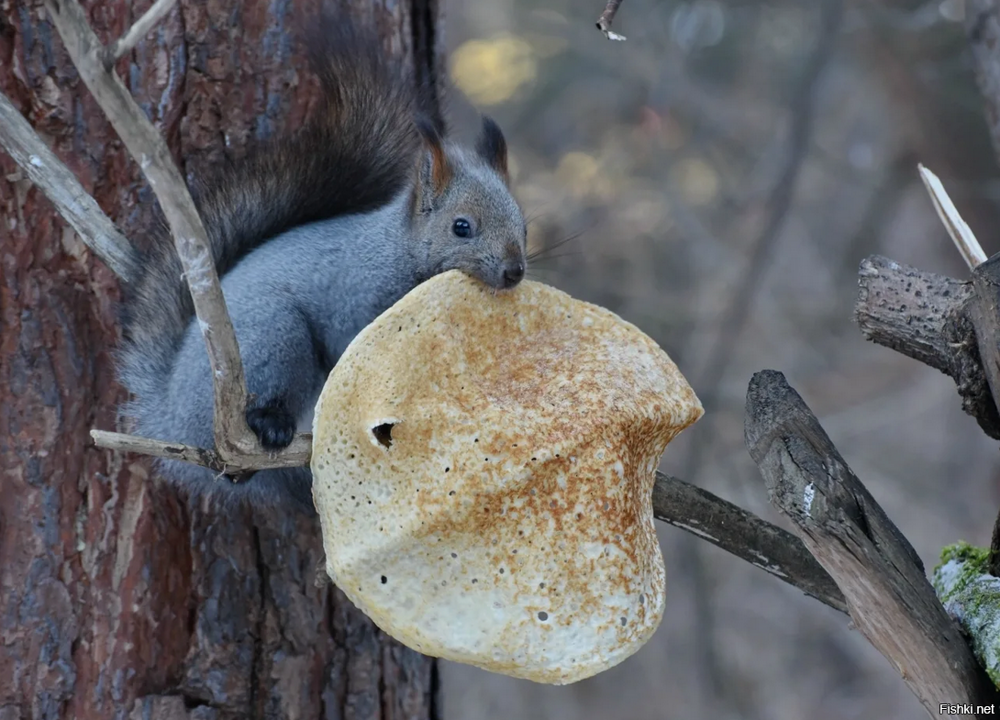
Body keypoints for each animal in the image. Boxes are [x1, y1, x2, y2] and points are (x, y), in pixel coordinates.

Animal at [116, 14, 528, 516]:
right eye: (461, 227)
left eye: (522, 223)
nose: (514, 271)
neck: (395, 251)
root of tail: (167, 416)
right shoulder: (352, 298)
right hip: (274, 338)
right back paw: (269, 424)